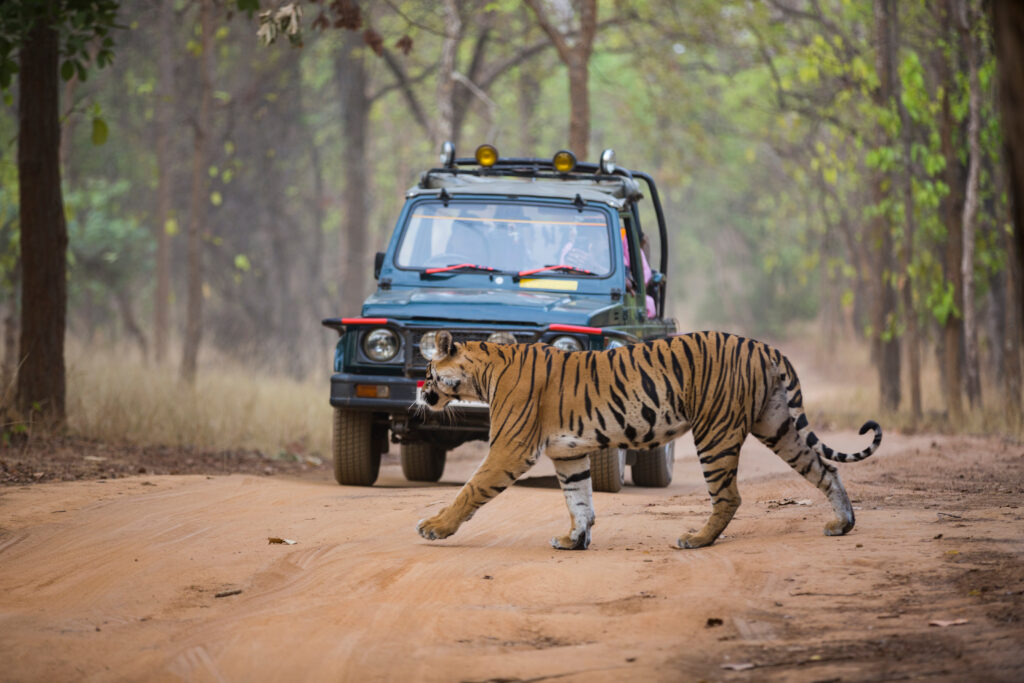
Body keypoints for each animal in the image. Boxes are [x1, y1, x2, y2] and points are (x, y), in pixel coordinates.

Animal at [415, 329, 880, 548]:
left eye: (428, 371)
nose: (420, 392)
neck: (483, 373)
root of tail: (764, 346)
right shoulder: (568, 455)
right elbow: (579, 501)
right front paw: (573, 541)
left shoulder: (510, 449)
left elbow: (470, 490)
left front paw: (434, 527)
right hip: (778, 426)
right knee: (825, 469)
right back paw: (843, 524)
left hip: (715, 432)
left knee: (729, 496)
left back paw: (696, 540)